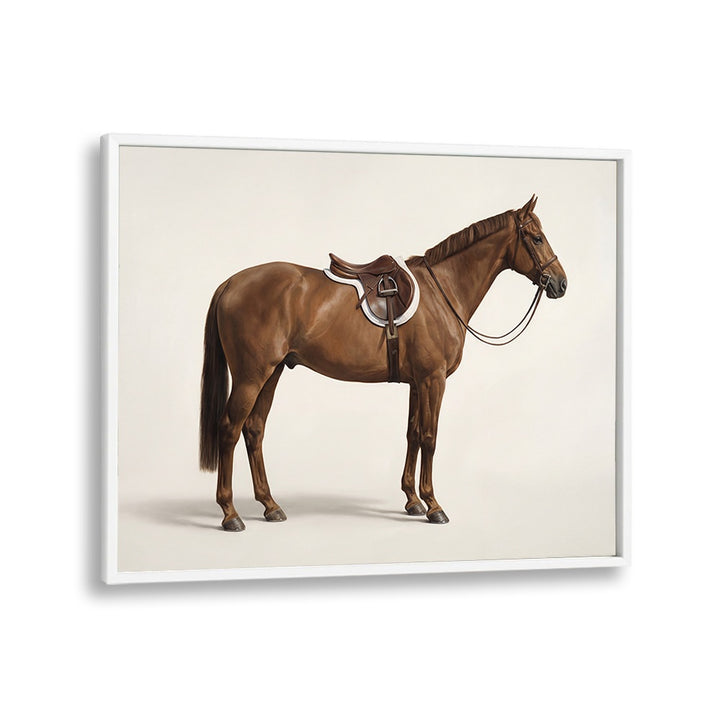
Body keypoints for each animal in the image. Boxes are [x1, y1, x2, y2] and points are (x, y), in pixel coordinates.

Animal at [199, 195, 567, 531]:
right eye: (536, 238)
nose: (561, 283)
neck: (441, 291)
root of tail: (231, 283)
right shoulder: (434, 379)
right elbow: (430, 437)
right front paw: (434, 505)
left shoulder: (418, 382)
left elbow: (413, 433)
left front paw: (413, 500)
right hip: (251, 376)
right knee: (229, 429)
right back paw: (230, 514)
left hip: (271, 373)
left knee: (254, 430)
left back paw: (270, 505)